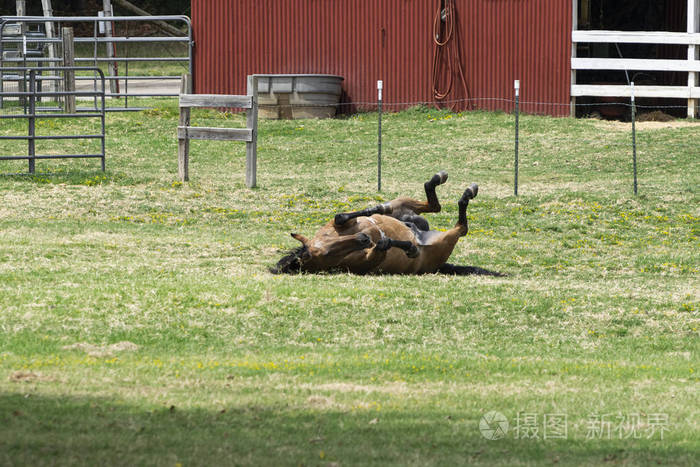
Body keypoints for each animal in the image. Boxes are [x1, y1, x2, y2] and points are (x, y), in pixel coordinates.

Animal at [271, 171, 503, 276]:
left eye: (329, 244)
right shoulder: (371, 257)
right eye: (327, 254)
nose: (363, 238)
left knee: (431, 204)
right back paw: (465, 194)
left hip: (403, 204)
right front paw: (409, 248)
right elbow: (385, 244)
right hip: (446, 241)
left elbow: (341, 216)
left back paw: (439, 180)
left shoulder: (345, 223)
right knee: (461, 226)